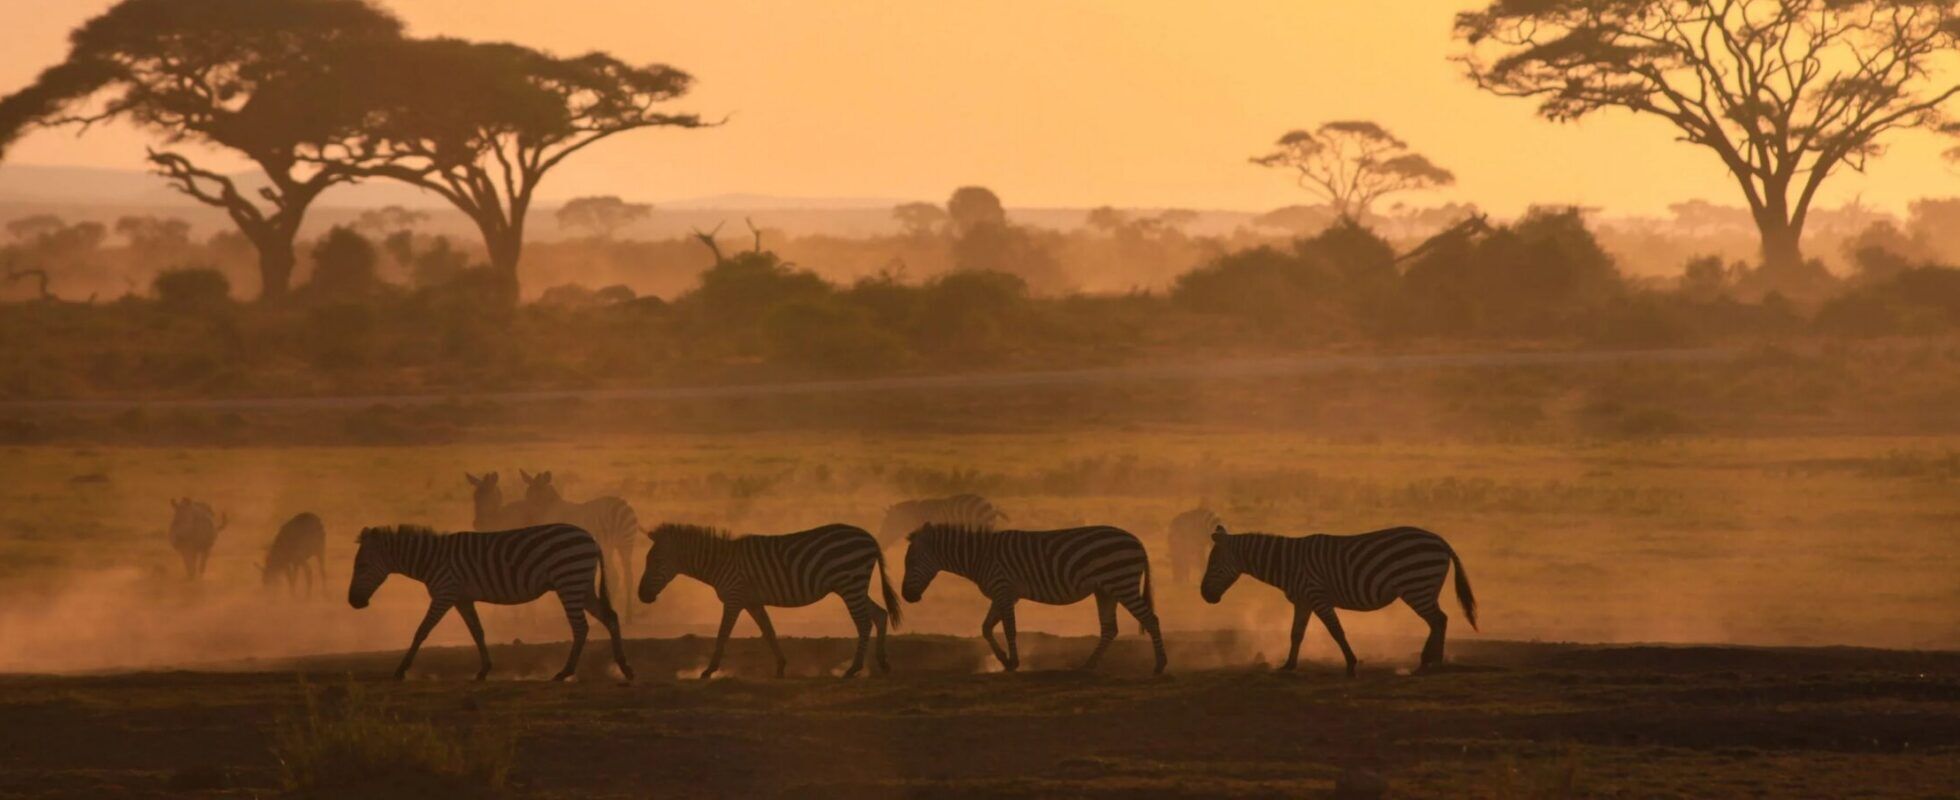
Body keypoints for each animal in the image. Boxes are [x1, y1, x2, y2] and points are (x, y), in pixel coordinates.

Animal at [347, 523, 633, 682]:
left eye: (361, 566)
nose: (353, 602)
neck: (431, 560)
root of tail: (591, 538)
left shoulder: (444, 592)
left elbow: (421, 631)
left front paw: (401, 670)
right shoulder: (462, 598)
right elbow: (478, 632)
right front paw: (484, 670)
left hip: (569, 581)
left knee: (581, 627)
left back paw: (565, 672)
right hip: (581, 585)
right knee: (610, 617)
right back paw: (624, 667)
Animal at [520, 470, 642, 609]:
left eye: (534, 498)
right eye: (527, 495)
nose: (525, 518)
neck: (552, 508)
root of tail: (623, 504)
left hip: (607, 544)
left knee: (614, 575)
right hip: (626, 543)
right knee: (628, 577)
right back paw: (628, 611)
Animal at [639, 522, 900, 679]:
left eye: (656, 561)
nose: (641, 595)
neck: (719, 563)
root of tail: (869, 537)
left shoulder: (734, 598)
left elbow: (723, 634)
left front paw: (709, 670)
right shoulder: (752, 601)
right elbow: (769, 631)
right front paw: (781, 666)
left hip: (850, 584)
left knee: (864, 623)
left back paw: (854, 669)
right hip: (852, 586)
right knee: (880, 614)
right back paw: (883, 663)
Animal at [902, 524, 1166, 674]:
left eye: (911, 562)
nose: (906, 596)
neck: (979, 556)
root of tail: (1137, 541)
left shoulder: (1004, 590)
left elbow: (1009, 629)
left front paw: (1014, 662)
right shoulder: (1003, 594)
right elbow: (986, 628)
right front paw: (1004, 660)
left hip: (1122, 582)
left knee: (1151, 619)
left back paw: (1160, 665)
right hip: (1106, 590)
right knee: (1110, 628)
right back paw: (1088, 665)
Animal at [1201, 525, 1478, 676]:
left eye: (1212, 563)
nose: (1204, 595)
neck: (1288, 564)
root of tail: (1440, 541)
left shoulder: (1317, 596)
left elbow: (1337, 631)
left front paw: (1351, 665)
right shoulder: (1303, 601)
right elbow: (1296, 633)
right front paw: (1288, 665)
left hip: (1417, 586)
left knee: (1438, 620)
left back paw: (1429, 663)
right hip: (1423, 587)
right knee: (1439, 620)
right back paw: (1430, 662)